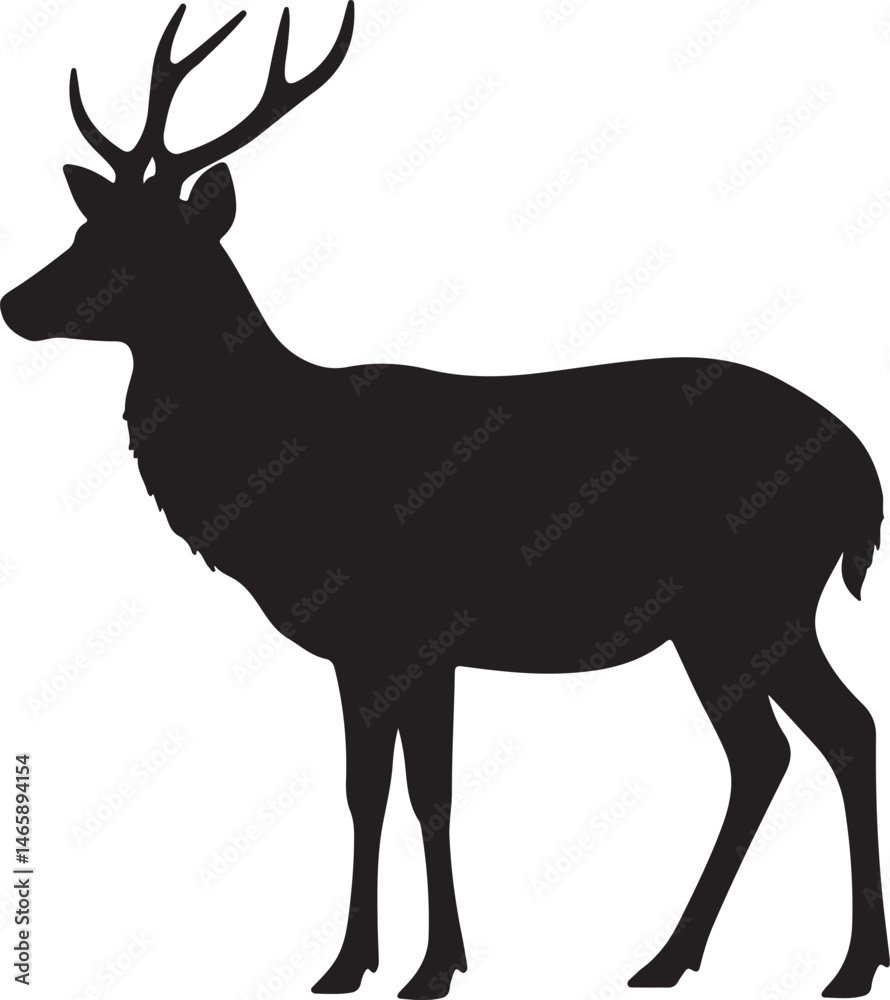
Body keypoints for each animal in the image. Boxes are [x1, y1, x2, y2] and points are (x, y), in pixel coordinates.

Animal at [2, 4, 888, 998]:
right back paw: (680, 957)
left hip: (754, 601)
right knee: (781, 749)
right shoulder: (378, 651)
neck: (284, 468)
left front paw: (417, 967)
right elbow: (375, 793)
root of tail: (864, 475)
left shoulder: (407, 630)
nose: (13, 304)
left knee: (829, 734)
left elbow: (422, 795)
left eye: (143, 246)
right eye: (86, 232)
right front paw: (367, 961)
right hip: (728, 622)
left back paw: (837, 963)